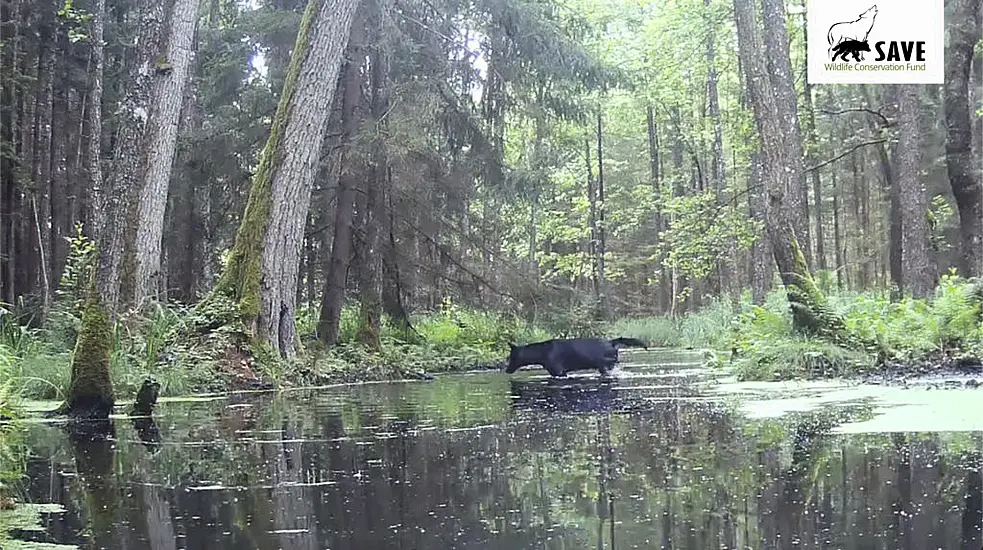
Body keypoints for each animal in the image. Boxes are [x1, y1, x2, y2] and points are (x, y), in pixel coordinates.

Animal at [504, 336, 648, 380]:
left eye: (511, 357)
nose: (506, 370)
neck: (541, 353)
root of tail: (611, 342)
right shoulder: (556, 373)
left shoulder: (560, 372)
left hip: (604, 365)